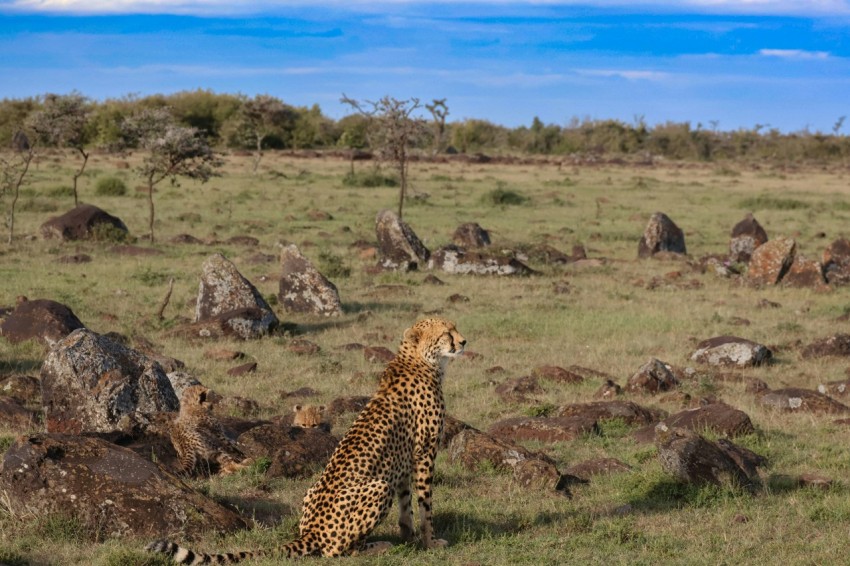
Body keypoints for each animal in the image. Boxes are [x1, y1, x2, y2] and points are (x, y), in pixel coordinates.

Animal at [147, 317, 466, 563]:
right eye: (446, 332)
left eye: (454, 329)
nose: (463, 342)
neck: (418, 360)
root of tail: (311, 531)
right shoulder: (424, 453)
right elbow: (425, 504)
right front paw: (429, 542)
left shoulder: (403, 460)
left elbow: (406, 506)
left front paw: (410, 539)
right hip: (377, 487)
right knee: (334, 551)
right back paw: (376, 547)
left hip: (316, 490)